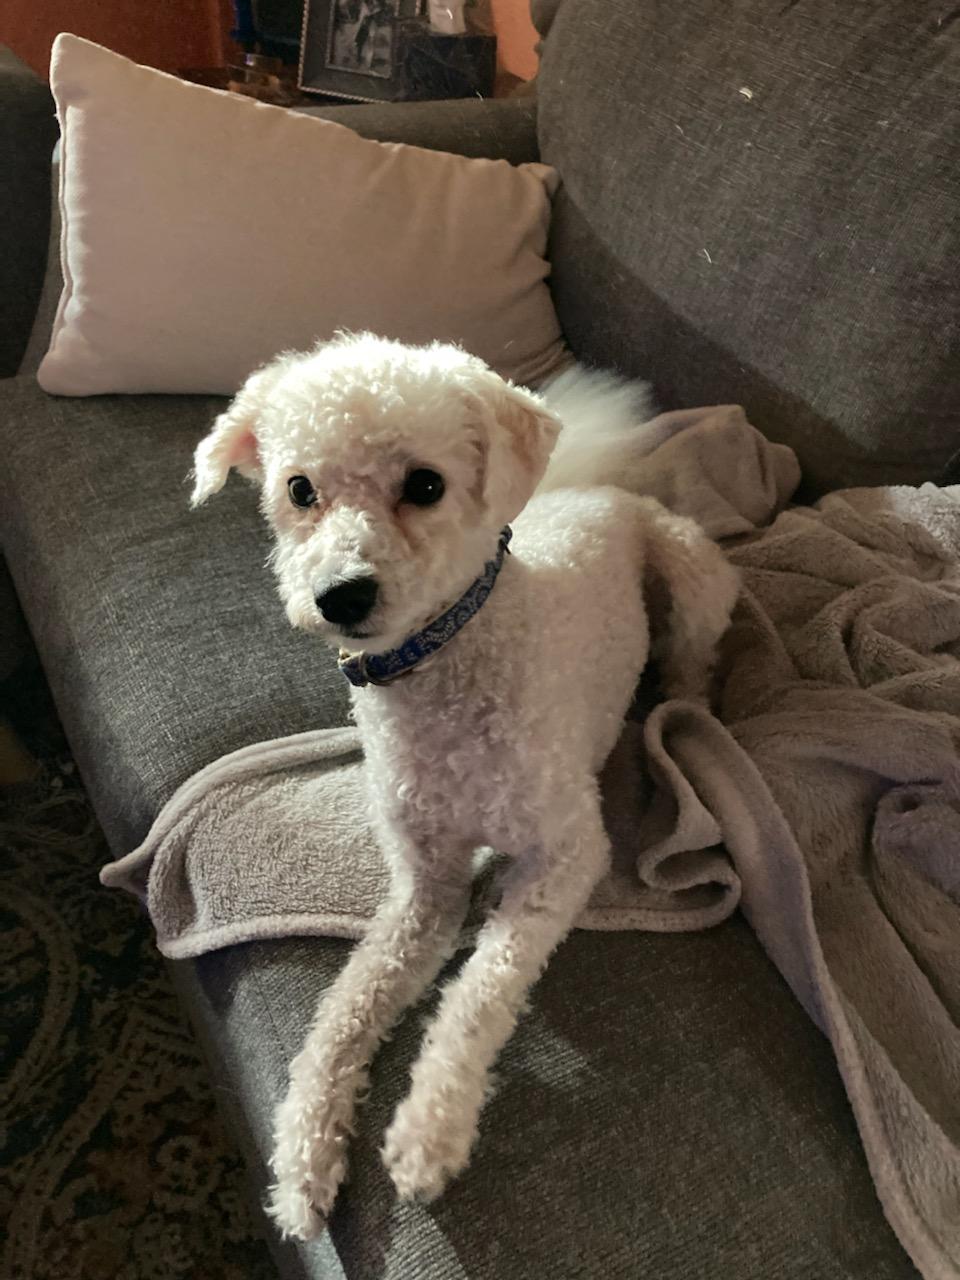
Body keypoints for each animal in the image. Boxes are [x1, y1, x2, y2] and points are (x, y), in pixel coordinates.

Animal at [191, 333, 740, 1239]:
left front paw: (429, 1131)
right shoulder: (424, 888)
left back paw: (684, 703)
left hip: (693, 578)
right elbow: (345, 1009)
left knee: (695, 653)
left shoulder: (565, 855)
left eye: (425, 485)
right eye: (300, 489)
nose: (341, 595)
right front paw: (303, 1156)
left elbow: (481, 989)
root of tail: (586, 486)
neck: (445, 666)